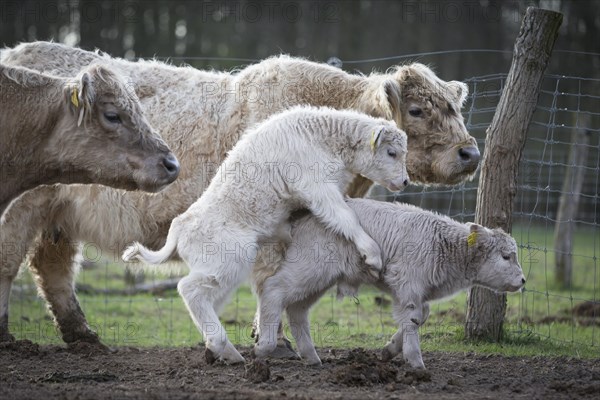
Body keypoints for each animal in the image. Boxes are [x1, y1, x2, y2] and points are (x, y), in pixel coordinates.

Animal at [124, 108, 410, 364]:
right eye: (391, 152)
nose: (406, 181)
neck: (319, 138)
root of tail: (180, 226)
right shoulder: (316, 187)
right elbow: (344, 216)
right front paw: (372, 254)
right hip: (228, 261)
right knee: (189, 290)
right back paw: (223, 345)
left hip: (220, 271)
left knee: (207, 299)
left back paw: (220, 350)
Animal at [253, 199, 524, 368]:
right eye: (506, 256)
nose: (522, 280)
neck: (442, 244)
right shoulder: (408, 284)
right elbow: (413, 319)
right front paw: (416, 362)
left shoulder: (412, 292)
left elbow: (420, 316)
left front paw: (389, 351)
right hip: (310, 270)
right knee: (273, 289)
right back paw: (264, 345)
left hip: (318, 281)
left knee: (297, 310)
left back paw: (311, 356)